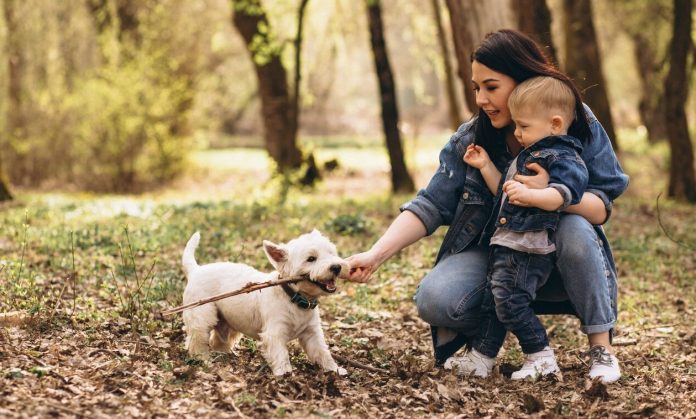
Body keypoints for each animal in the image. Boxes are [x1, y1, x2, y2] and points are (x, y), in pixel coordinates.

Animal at [182, 231, 350, 376]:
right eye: (311, 259)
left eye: (331, 253)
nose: (337, 267)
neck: (296, 299)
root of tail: (196, 270)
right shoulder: (274, 333)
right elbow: (280, 355)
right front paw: (285, 374)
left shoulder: (312, 333)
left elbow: (322, 352)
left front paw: (335, 369)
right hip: (201, 316)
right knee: (197, 339)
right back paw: (203, 359)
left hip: (229, 321)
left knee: (218, 339)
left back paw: (224, 355)